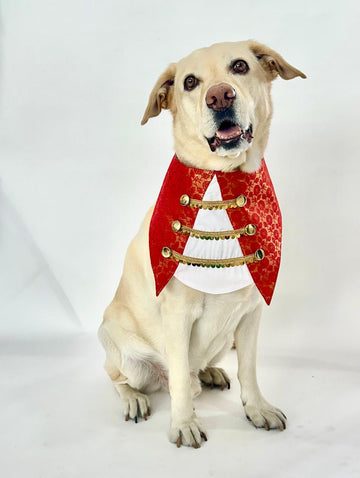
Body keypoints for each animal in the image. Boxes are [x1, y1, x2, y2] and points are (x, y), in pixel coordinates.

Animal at [99, 40, 306, 448]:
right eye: (190, 82)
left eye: (240, 66)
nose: (219, 95)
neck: (224, 181)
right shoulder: (178, 316)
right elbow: (179, 378)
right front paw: (184, 424)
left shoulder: (251, 314)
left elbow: (249, 369)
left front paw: (257, 408)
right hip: (117, 343)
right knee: (120, 377)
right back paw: (134, 399)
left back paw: (209, 373)